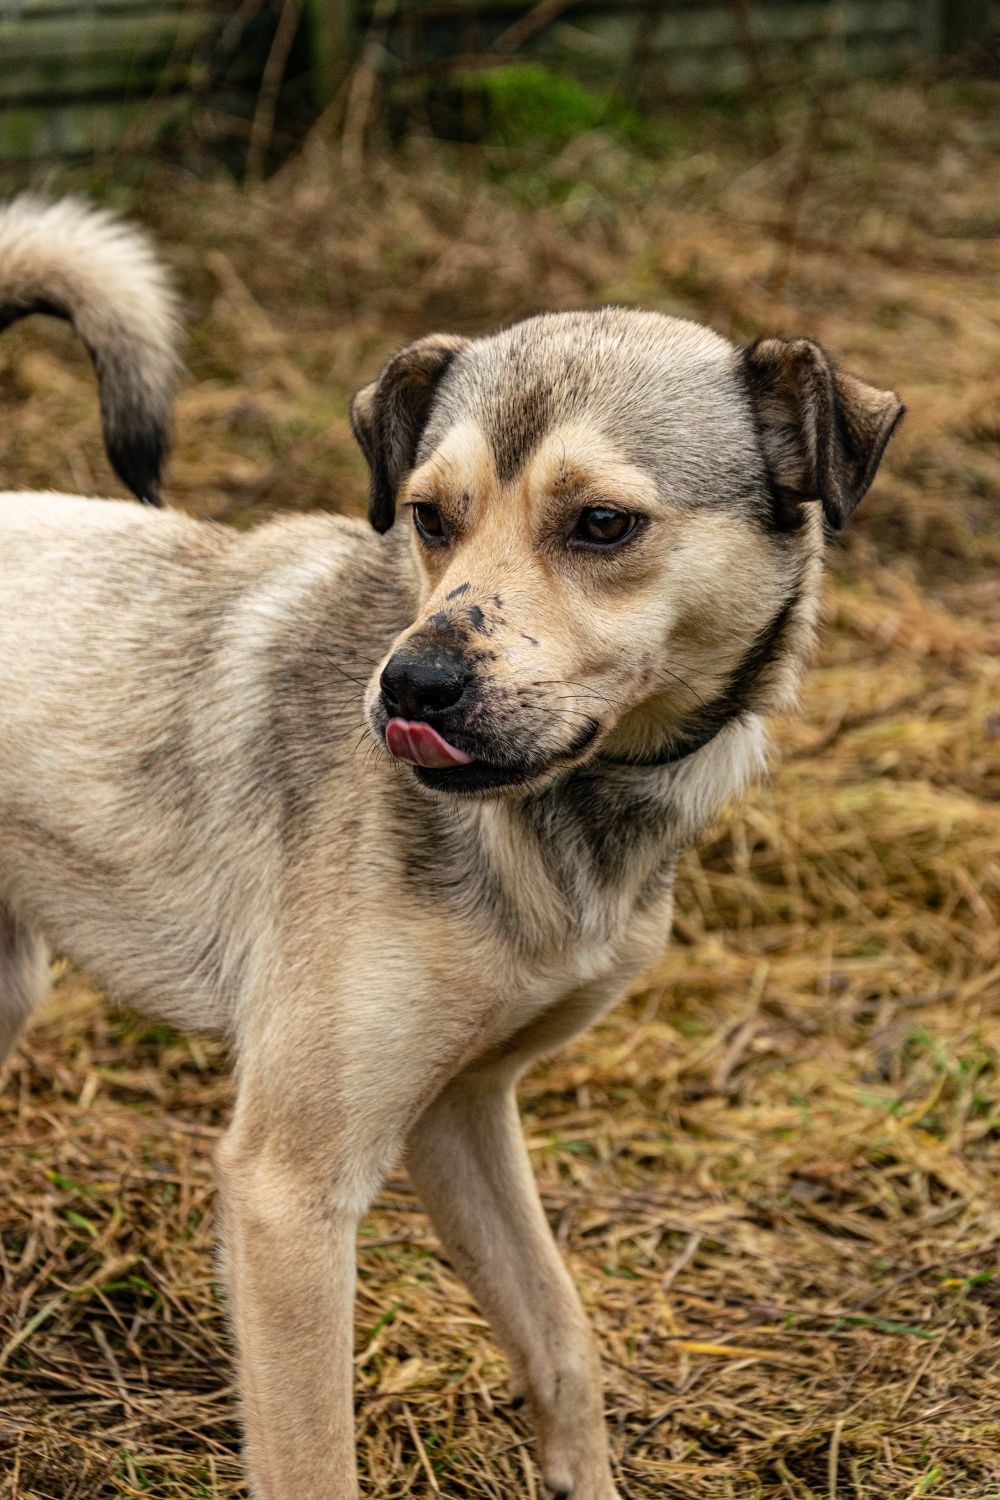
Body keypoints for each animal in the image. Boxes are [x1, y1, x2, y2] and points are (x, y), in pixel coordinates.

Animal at [0, 202, 905, 1500]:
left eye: (601, 525)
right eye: (431, 517)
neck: (548, 824)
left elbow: (561, 1336)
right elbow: (314, 1461)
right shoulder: (286, 1192)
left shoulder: (464, 1108)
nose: (411, 686)